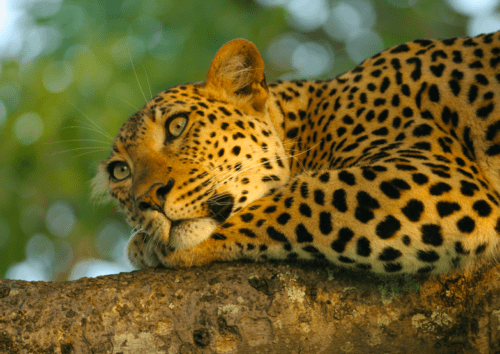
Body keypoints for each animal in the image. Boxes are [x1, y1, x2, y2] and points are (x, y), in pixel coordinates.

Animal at [94, 31, 500, 274]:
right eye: (120, 172)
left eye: (177, 126)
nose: (149, 199)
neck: (309, 122)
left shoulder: (434, 175)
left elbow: (301, 197)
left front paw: (150, 246)